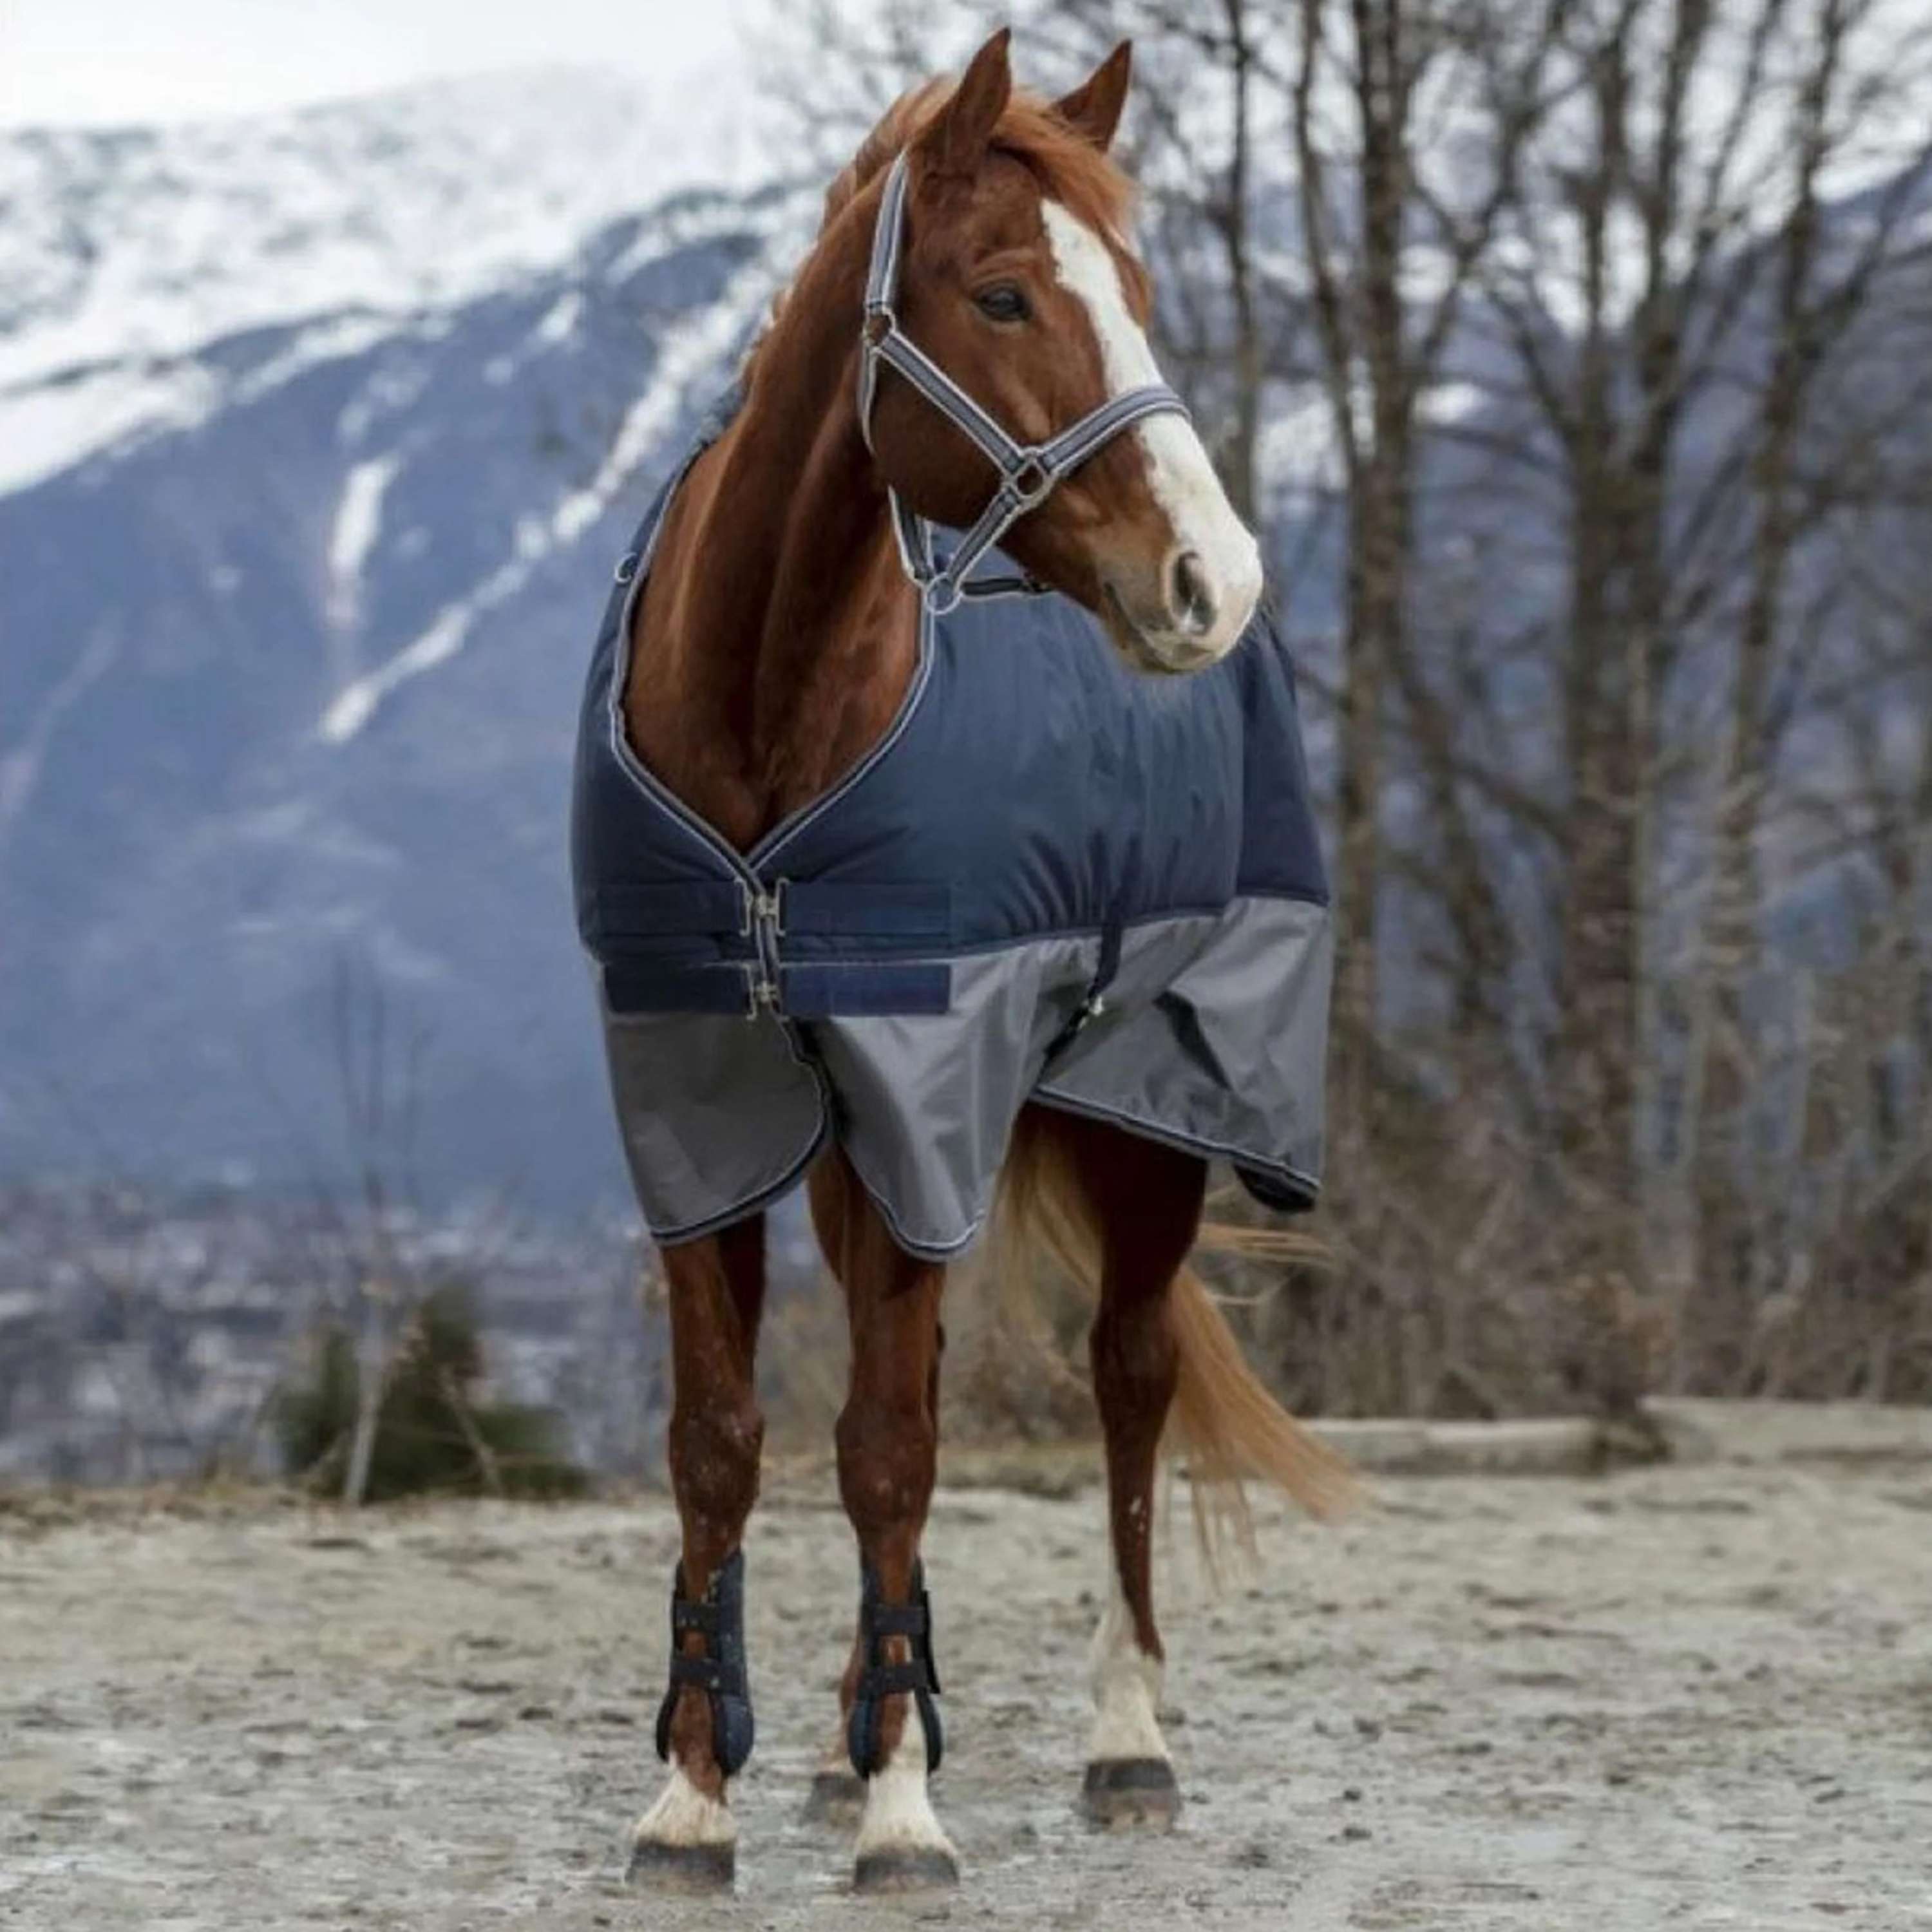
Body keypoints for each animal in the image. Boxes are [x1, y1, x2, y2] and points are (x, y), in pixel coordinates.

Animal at [575, 29, 1352, 1893]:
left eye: (1132, 289)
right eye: (1002, 293)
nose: (1209, 576)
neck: (765, 728)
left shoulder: (927, 1092)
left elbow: (889, 1447)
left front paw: (906, 1813)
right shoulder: (696, 1104)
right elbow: (728, 1444)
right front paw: (699, 1792)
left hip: (1156, 1111)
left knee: (1129, 1381)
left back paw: (1126, 1739)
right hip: (863, 1152)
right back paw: (851, 1729)